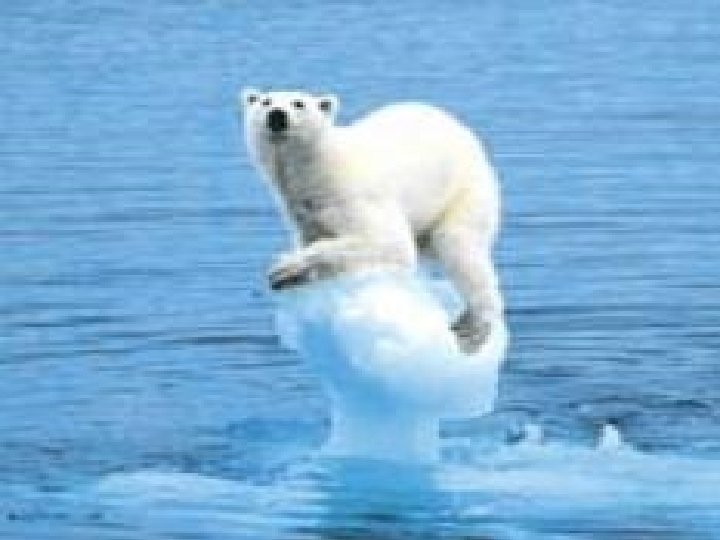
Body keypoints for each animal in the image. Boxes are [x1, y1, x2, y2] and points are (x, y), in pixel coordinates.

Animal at [239, 89, 503, 353]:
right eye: (265, 102)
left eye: (298, 103)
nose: (277, 115)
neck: (319, 169)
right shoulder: (304, 211)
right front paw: (289, 278)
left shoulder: (355, 196)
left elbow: (389, 243)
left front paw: (284, 266)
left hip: (465, 191)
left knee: (460, 247)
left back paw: (473, 329)